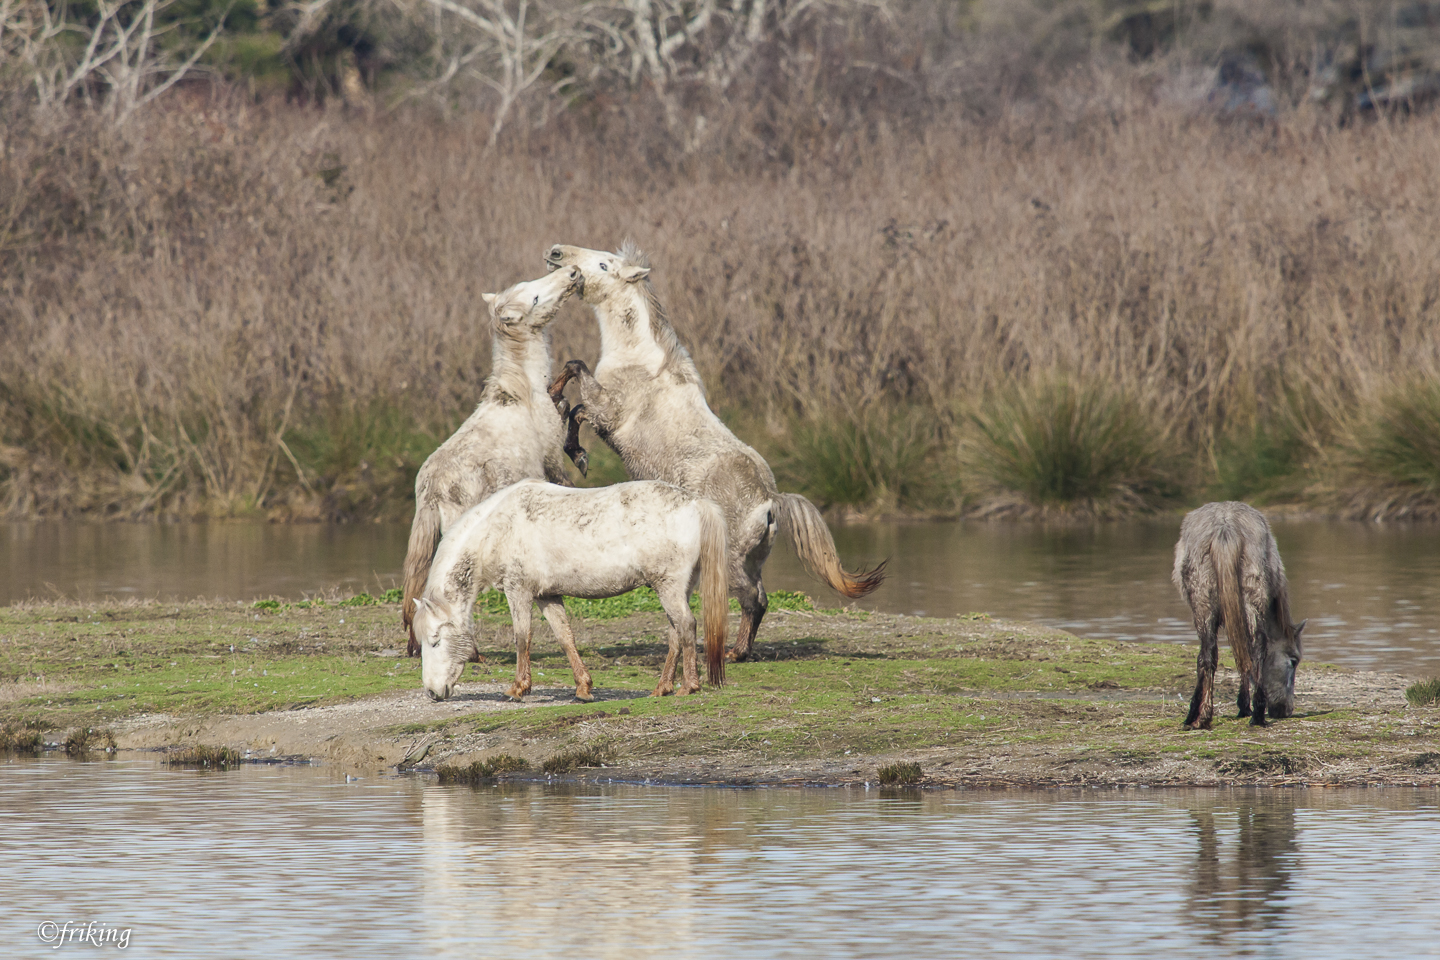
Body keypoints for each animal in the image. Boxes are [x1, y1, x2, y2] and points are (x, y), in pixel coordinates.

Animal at [411, 478, 729, 703]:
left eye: (435, 641)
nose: (432, 692)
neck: (496, 530)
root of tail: (697, 504)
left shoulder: (518, 591)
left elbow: (522, 638)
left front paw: (518, 688)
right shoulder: (546, 596)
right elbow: (565, 637)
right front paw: (583, 687)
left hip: (669, 587)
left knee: (686, 626)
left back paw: (688, 686)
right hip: (677, 588)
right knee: (676, 633)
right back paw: (662, 688)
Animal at [542, 241, 885, 663]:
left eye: (604, 263)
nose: (557, 253)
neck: (640, 359)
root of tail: (770, 501)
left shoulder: (607, 413)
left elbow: (577, 393)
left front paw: (577, 452)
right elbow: (573, 383)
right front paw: (554, 399)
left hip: (731, 561)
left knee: (753, 600)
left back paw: (733, 653)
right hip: (750, 560)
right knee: (761, 597)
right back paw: (740, 649)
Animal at [1172, 501, 1306, 729]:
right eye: (1294, 660)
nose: (1285, 710)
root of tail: (1225, 528)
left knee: (1209, 654)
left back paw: (1201, 715)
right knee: (1254, 648)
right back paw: (1256, 714)